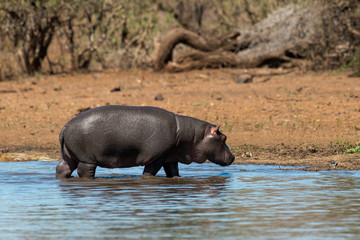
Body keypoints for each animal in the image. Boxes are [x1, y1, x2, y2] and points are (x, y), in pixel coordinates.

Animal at [56, 105, 235, 178]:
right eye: (224, 138)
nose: (233, 157)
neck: (191, 136)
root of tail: (64, 127)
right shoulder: (156, 157)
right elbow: (149, 173)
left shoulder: (170, 157)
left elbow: (173, 172)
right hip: (87, 159)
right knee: (84, 172)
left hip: (70, 156)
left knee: (62, 168)